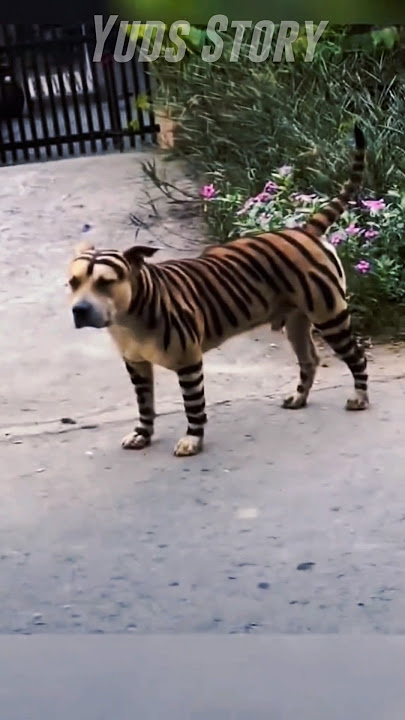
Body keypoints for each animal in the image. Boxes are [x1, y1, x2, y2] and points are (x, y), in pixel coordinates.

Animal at [67, 125, 369, 457]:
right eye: (73, 282)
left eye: (105, 283)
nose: (79, 310)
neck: (130, 315)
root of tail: (305, 230)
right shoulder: (137, 366)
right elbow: (145, 405)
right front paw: (143, 434)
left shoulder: (188, 363)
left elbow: (193, 406)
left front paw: (192, 439)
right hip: (297, 323)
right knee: (309, 361)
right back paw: (300, 397)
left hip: (330, 317)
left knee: (357, 357)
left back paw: (360, 396)